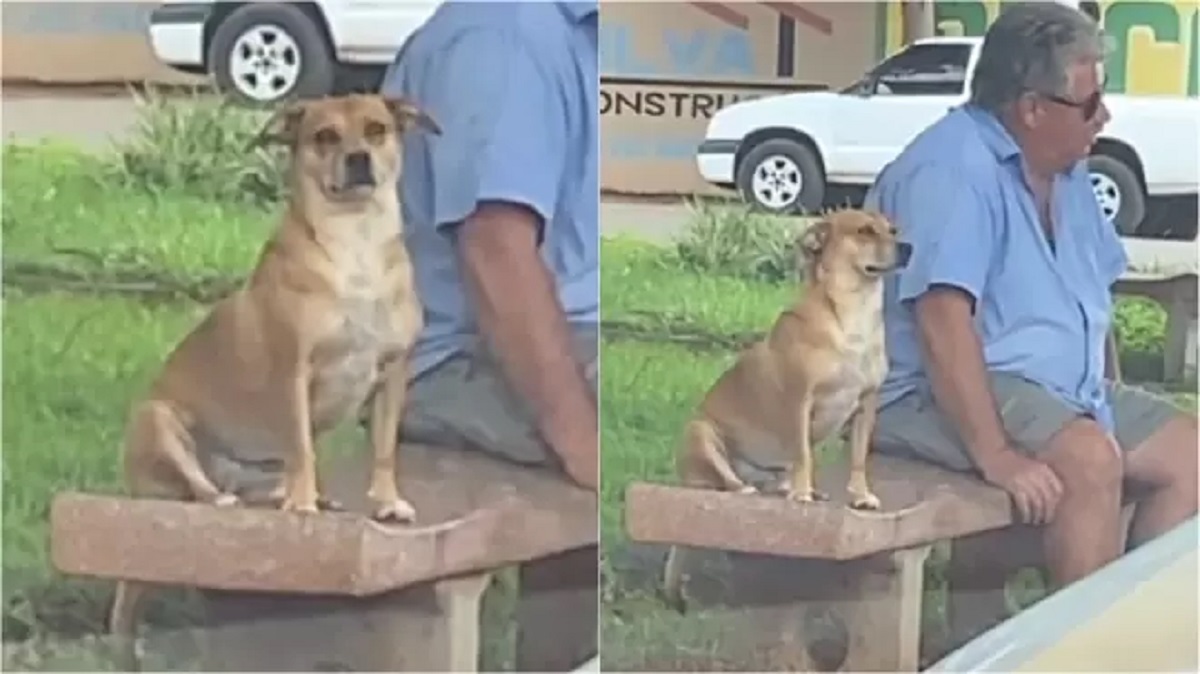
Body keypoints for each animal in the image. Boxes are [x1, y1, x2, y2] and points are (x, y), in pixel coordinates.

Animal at [106, 92, 441, 666]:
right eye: (324, 136)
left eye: (377, 129)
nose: (358, 158)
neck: (356, 243)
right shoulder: (292, 373)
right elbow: (302, 446)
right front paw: (304, 504)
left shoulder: (393, 374)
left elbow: (382, 449)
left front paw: (385, 501)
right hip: (158, 420)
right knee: (199, 484)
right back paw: (229, 498)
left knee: (266, 481)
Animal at [667, 207, 907, 606]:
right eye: (864, 231)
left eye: (893, 229)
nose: (907, 247)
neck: (855, 314)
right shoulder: (799, 401)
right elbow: (804, 455)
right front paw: (803, 493)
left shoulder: (866, 405)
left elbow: (858, 459)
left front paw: (860, 496)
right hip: (700, 433)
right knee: (727, 480)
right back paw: (749, 488)